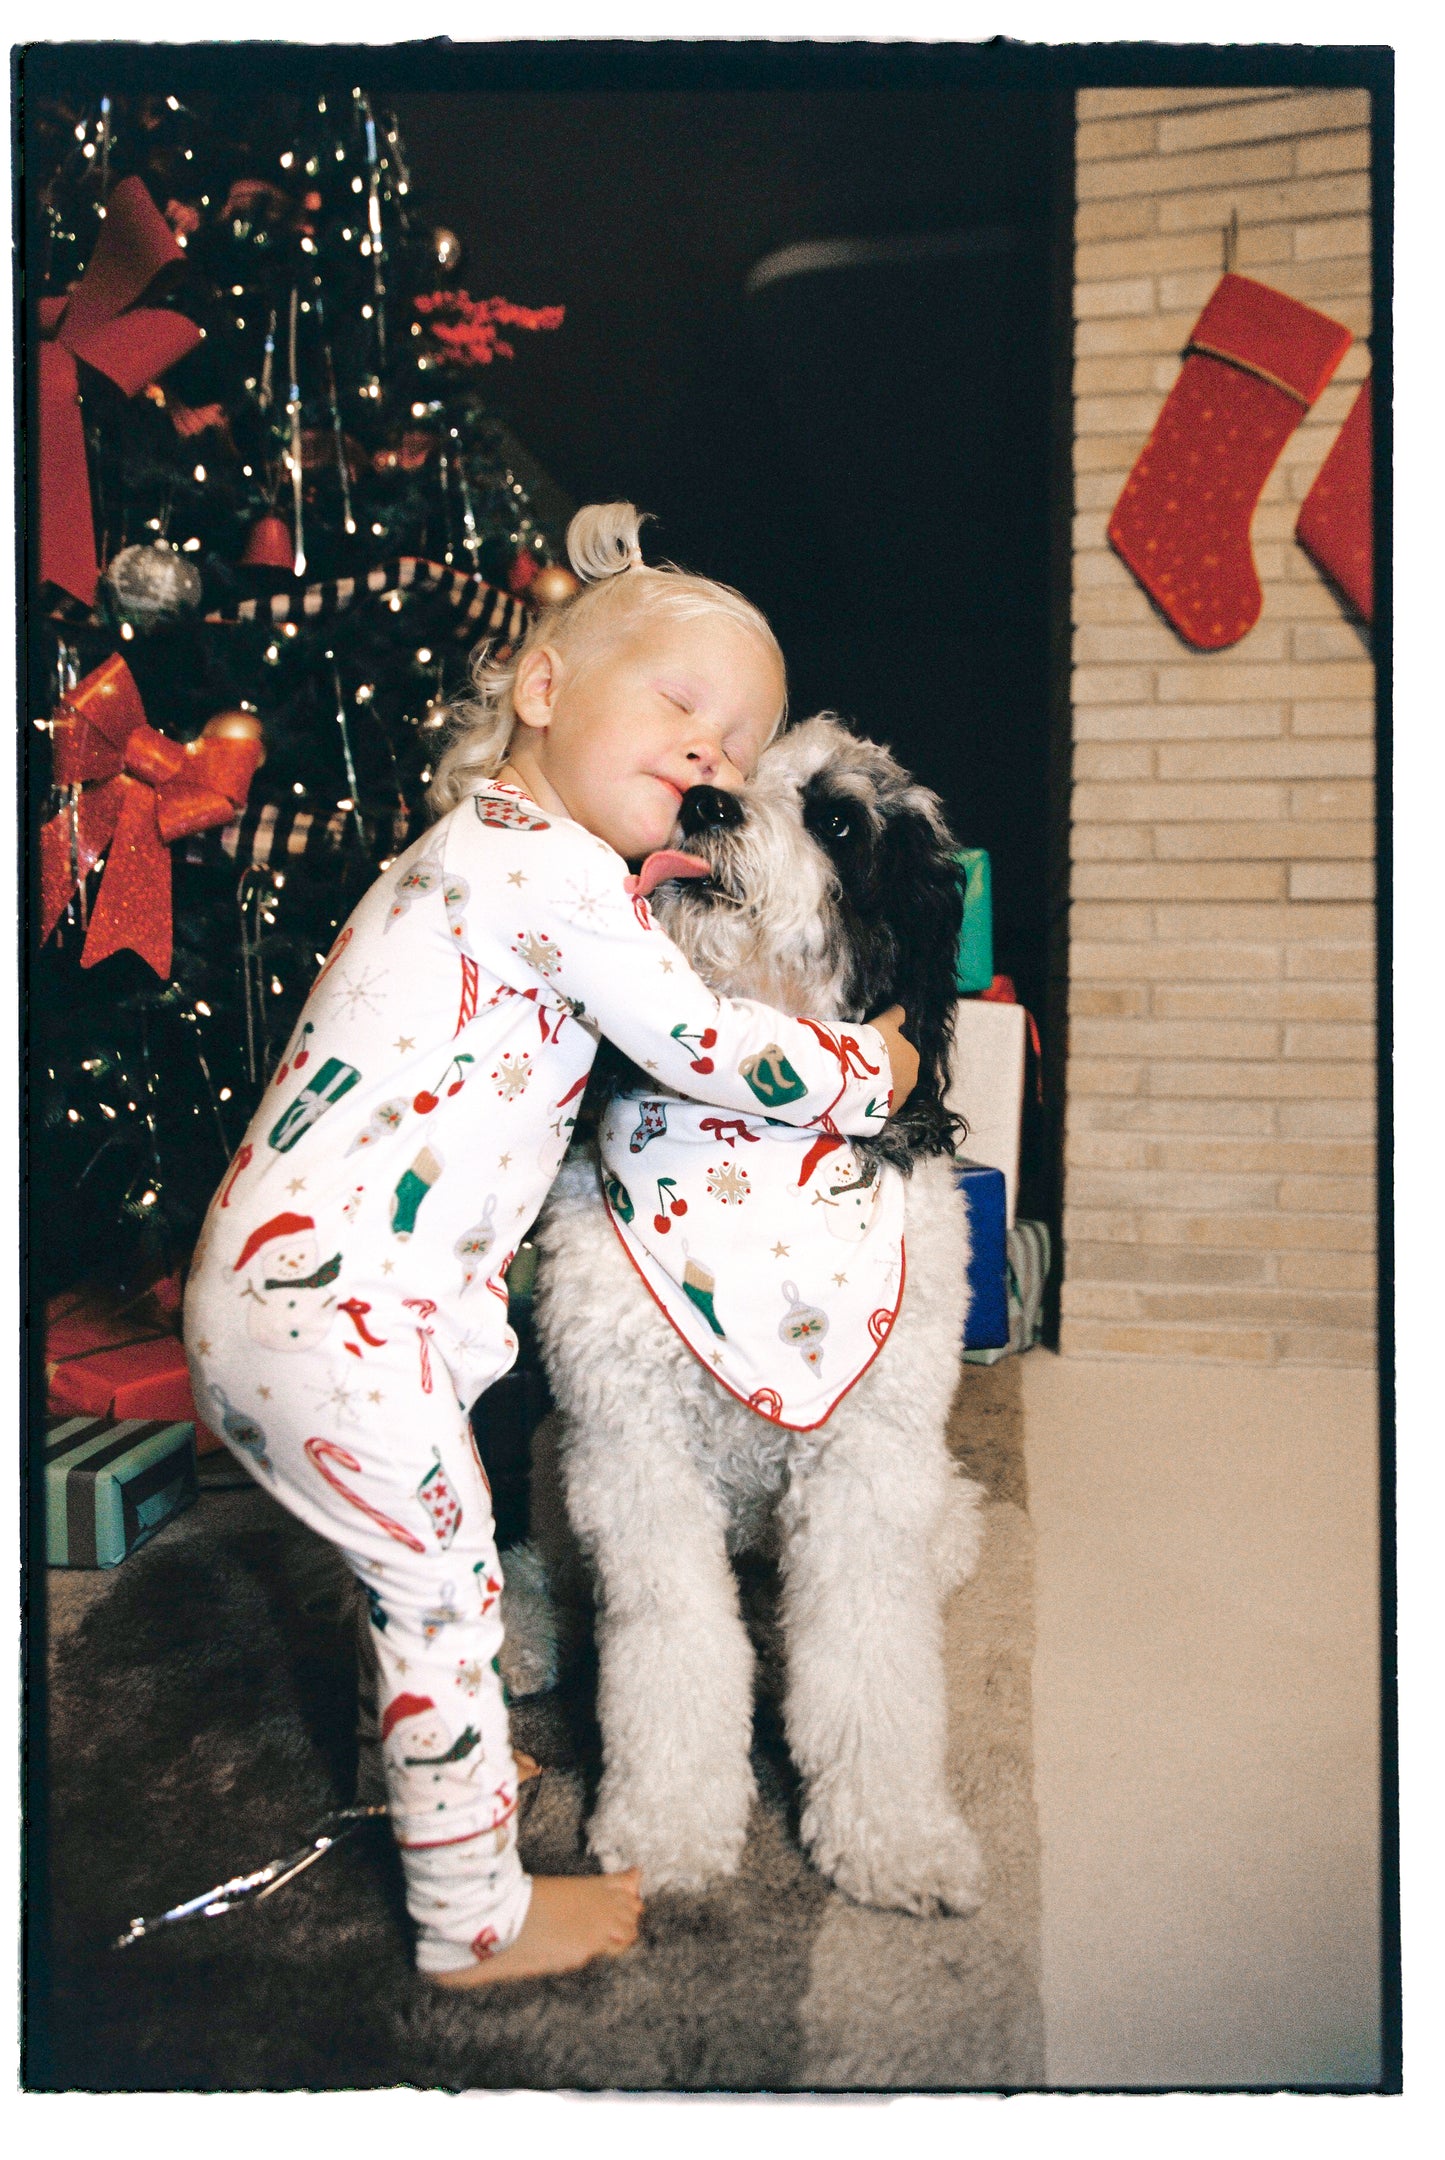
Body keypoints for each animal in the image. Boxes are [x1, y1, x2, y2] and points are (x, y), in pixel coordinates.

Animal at [533, 717, 993, 1918]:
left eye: (836, 819)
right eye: (726, 769)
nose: (703, 805)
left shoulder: (865, 1468)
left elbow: (870, 1658)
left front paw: (892, 1836)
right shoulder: (631, 1454)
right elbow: (669, 1653)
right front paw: (666, 1825)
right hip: (558, 1454)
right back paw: (523, 1634)